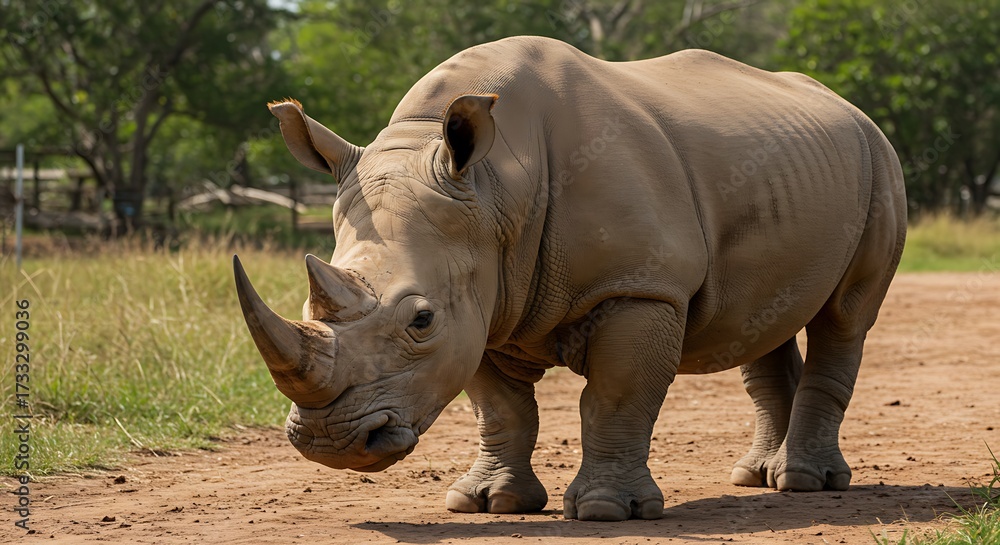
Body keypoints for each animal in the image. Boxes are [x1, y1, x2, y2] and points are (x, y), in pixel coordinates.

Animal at [233, 36, 906, 521]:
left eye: (420, 320)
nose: (331, 442)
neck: (497, 189)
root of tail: (850, 108)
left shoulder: (639, 286)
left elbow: (616, 395)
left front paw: (609, 511)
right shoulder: (484, 298)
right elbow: (501, 408)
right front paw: (490, 504)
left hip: (880, 160)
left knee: (845, 318)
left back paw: (804, 483)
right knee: (763, 320)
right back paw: (754, 477)